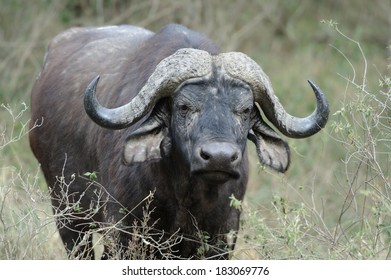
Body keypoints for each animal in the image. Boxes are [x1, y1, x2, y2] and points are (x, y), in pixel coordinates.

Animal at [29, 24, 330, 260]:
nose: (219, 157)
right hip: (68, 213)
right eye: (184, 107)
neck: (187, 195)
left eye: (245, 110)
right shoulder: (123, 233)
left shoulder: (223, 237)